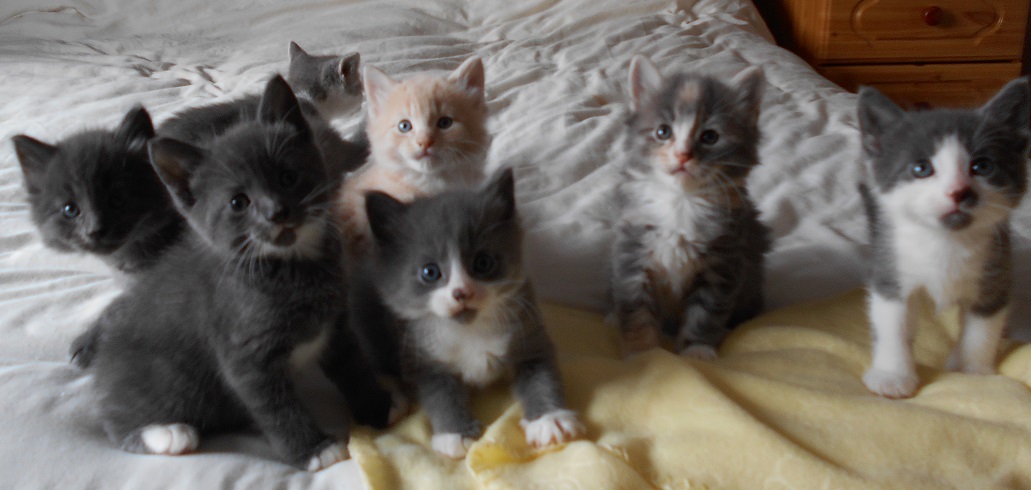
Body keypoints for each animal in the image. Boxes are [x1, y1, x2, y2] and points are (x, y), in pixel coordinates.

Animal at [84, 76, 387, 472]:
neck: (292, 266)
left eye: (288, 177)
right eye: (238, 202)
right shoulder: (245, 356)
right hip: (162, 378)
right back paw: (166, 433)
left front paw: (379, 409)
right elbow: (277, 409)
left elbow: (353, 365)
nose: (277, 212)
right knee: (115, 424)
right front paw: (315, 449)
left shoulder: (335, 323)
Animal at [350, 170, 585, 460]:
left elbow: (543, 378)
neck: (470, 329)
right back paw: (392, 400)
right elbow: (440, 395)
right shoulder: (423, 360)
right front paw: (455, 434)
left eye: (483, 263)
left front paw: (549, 420)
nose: (462, 292)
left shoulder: (530, 335)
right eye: (430, 272)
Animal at [606, 55, 771, 361]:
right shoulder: (632, 254)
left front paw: (697, 351)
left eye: (710, 137)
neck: (681, 202)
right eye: (663, 132)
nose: (683, 155)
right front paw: (644, 354)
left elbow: (704, 316)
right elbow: (637, 312)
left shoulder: (723, 263)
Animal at [853, 80, 1031, 400]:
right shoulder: (890, 266)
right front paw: (892, 375)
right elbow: (892, 323)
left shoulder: (996, 271)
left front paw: (971, 372)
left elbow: (981, 329)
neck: (946, 242)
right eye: (921, 168)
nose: (958, 191)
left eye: (982, 166)